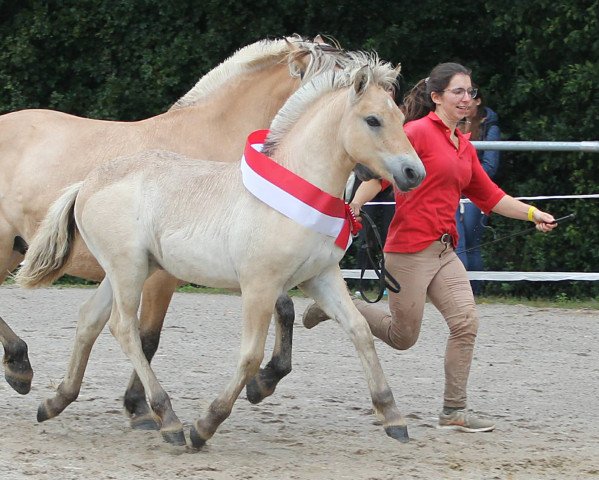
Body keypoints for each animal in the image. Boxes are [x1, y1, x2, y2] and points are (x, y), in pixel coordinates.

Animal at [0, 37, 346, 410]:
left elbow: (284, 308)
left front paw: (264, 381)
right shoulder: (169, 274)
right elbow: (148, 338)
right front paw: (140, 407)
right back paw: (19, 365)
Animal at [17, 58, 426, 448]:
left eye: (401, 118)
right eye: (372, 120)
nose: (413, 173)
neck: (297, 191)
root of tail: (87, 182)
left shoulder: (319, 277)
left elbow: (359, 331)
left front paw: (393, 416)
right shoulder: (260, 286)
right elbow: (250, 355)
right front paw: (206, 425)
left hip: (128, 271)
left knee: (90, 319)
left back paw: (54, 402)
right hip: (128, 270)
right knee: (124, 328)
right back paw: (168, 420)